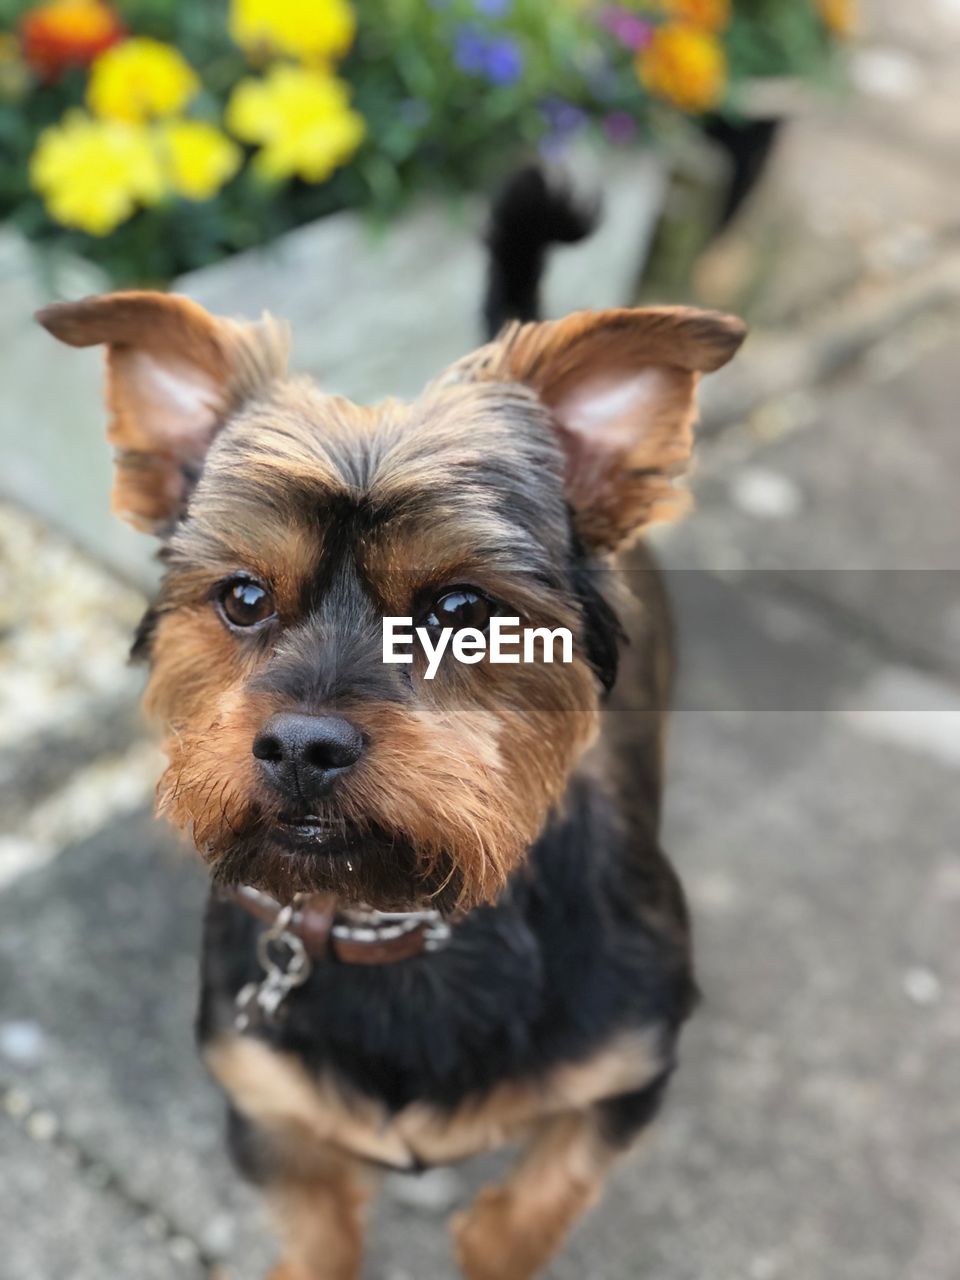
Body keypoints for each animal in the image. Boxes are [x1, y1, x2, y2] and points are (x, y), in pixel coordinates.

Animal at [39, 172, 742, 1280]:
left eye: (461, 607)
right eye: (242, 596)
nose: (302, 745)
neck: (396, 918)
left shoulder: (627, 1070)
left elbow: (523, 1212)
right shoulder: (271, 1109)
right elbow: (320, 1233)